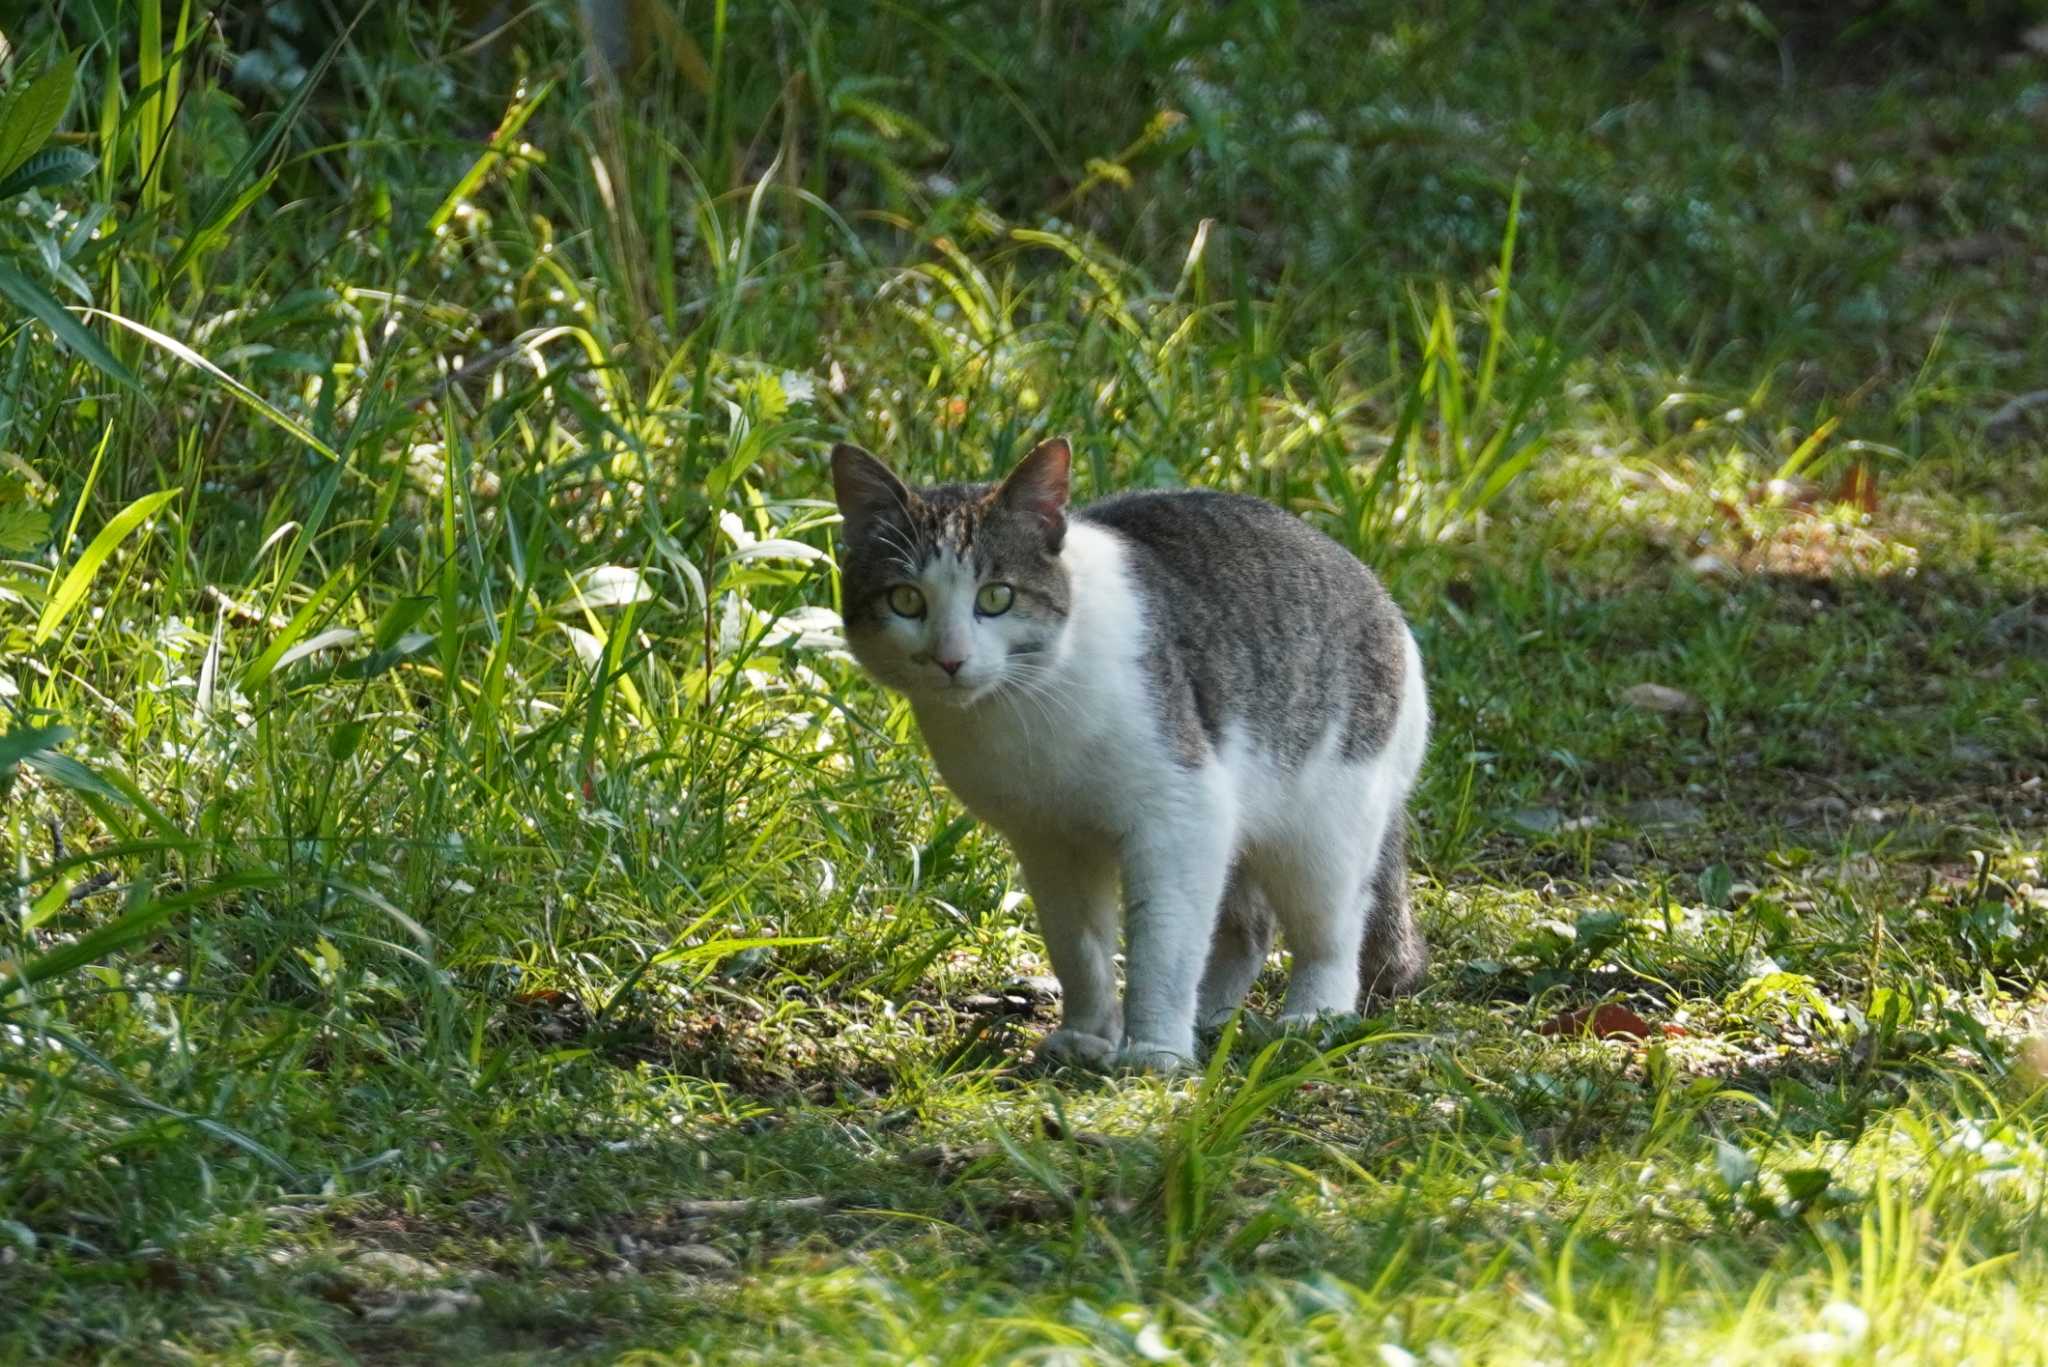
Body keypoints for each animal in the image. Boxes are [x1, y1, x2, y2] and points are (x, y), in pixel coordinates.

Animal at [827, 438, 1425, 1065]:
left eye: (995, 597)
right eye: (905, 600)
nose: (950, 658)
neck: (1025, 710)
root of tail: (1377, 588)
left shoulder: (1181, 817)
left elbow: (1163, 949)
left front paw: (1156, 1052)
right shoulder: (1049, 842)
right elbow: (1079, 947)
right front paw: (1089, 1034)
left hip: (1323, 831)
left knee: (1334, 927)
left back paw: (1312, 1017)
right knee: (1250, 927)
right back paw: (1212, 1018)